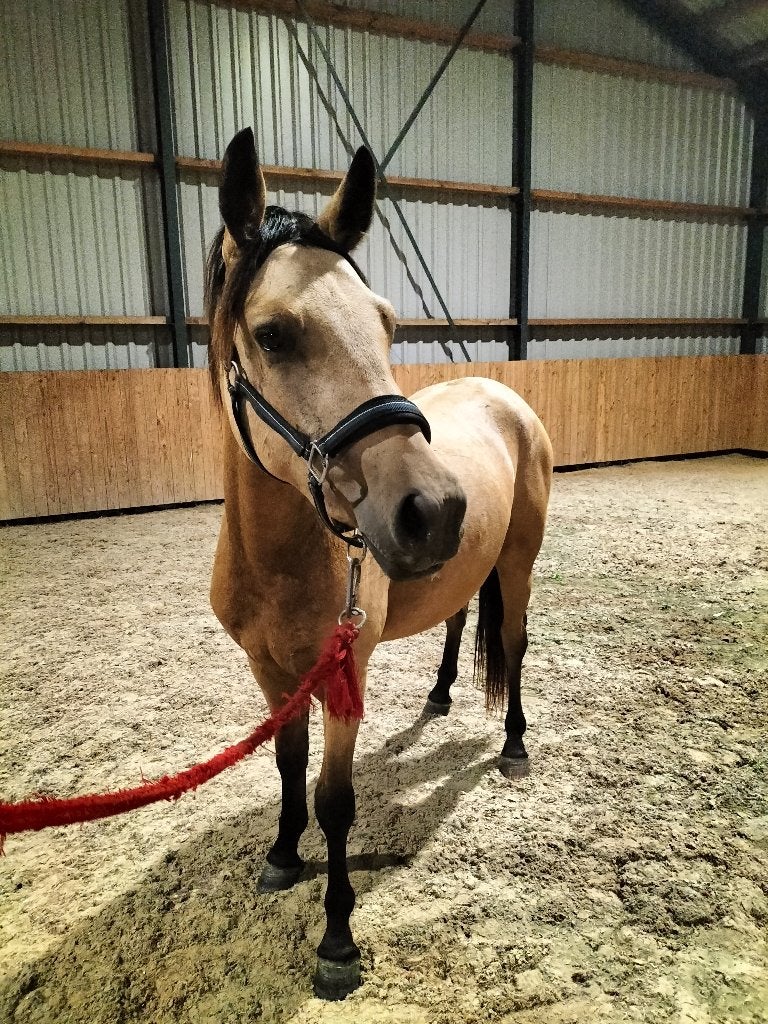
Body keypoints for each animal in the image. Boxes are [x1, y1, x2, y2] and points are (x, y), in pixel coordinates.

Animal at [205, 127, 553, 1000]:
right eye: (272, 334)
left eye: (387, 323)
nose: (435, 511)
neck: (279, 562)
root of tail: (505, 396)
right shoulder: (270, 671)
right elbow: (286, 765)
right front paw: (280, 857)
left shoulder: (343, 674)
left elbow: (334, 801)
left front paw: (336, 940)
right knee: (458, 619)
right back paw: (438, 697)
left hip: (520, 566)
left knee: (516, 646)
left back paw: (514, 746)